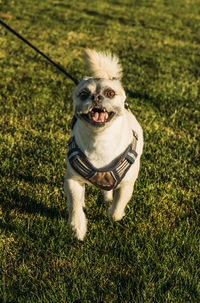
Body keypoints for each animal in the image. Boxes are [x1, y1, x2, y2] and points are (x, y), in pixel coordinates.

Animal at [63, 49, 143, 240]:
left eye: (110, 93)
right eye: (83, 94)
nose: (96, 97)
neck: (99, 139)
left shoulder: (127, 185)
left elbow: (116, 210)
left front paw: (112, 213)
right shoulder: (72, 180)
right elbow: (75, 204)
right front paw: (78, 226)